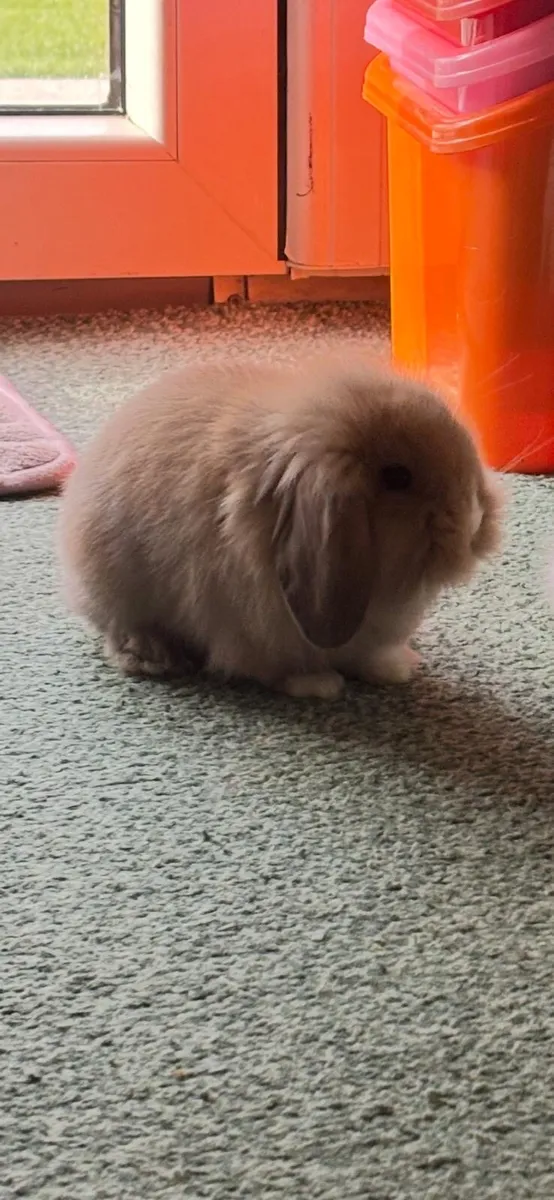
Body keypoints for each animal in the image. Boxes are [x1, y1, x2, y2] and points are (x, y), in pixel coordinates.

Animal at [58, 353, 502, 699]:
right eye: (397, 477)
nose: (475, 520)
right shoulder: (255, 624)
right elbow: (279, 668)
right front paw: (320, 685)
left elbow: (368, 655)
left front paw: (397, 668)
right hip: (114, 593)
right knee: (118, 632)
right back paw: (155, 656)